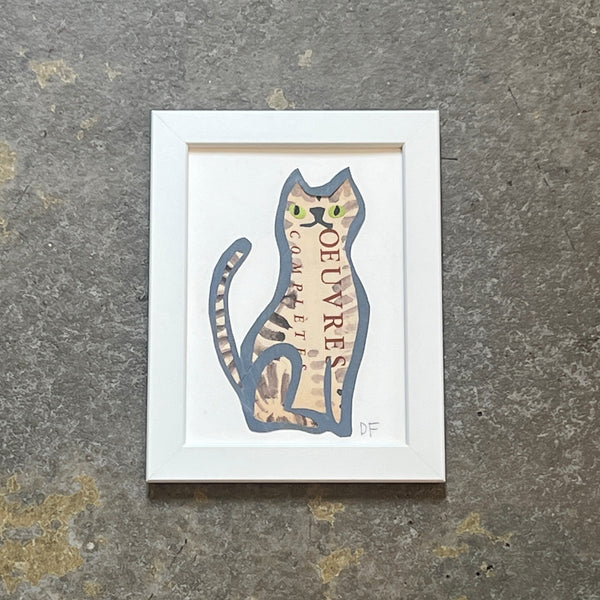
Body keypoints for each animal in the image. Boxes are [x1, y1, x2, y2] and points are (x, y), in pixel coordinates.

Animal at [208, 168, 369, 437]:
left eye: (336, 210)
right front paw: (320, 419)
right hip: (282, 356)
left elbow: (339, 395)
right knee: (271, 414)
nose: (317, 213)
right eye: (297, 210)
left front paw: (340, 427)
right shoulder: (308, 359)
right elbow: (314, 393)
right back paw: (301, 420)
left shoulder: (343, 355)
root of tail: (247, 394)